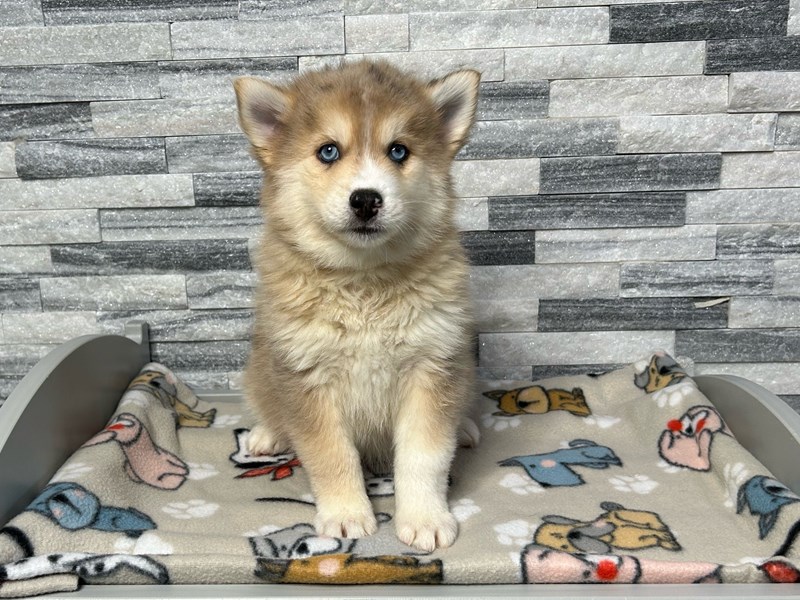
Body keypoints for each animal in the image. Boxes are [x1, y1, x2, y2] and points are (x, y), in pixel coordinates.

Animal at [234, 60, 481, 551]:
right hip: (260, 366)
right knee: (267, 403)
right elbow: (332, 455)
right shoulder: (307, 377)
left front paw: (425, 517)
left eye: (399, 151)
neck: (364, 283)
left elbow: (424, 456)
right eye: (328, 151)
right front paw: (347, 514)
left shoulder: (433, 364)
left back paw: (464, 427)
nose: (366, 198)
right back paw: (267, 434)